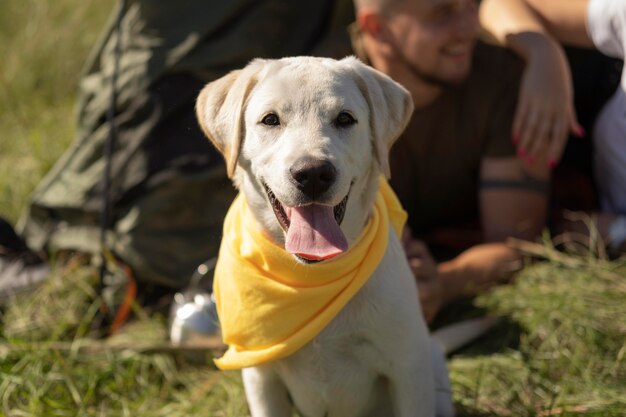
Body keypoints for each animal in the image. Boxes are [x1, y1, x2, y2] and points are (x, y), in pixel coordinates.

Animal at [195, 56, 444, 416]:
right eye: (270, 119)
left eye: (345, 119)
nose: (313, 173)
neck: (313, 273)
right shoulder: (261, 378)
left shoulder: (408, 370)